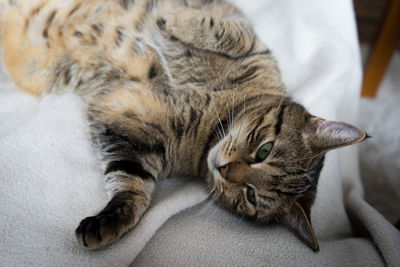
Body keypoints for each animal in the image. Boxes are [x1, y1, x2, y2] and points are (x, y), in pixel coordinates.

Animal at [0, 0, 368, 252]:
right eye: (264, 150)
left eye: (250, 195)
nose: (225, 169)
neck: (209, 122)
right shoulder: (250, 43)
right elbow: (222, 32)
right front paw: (175, 18)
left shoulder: (130, 128)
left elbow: (132, 186)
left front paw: (111, 220)